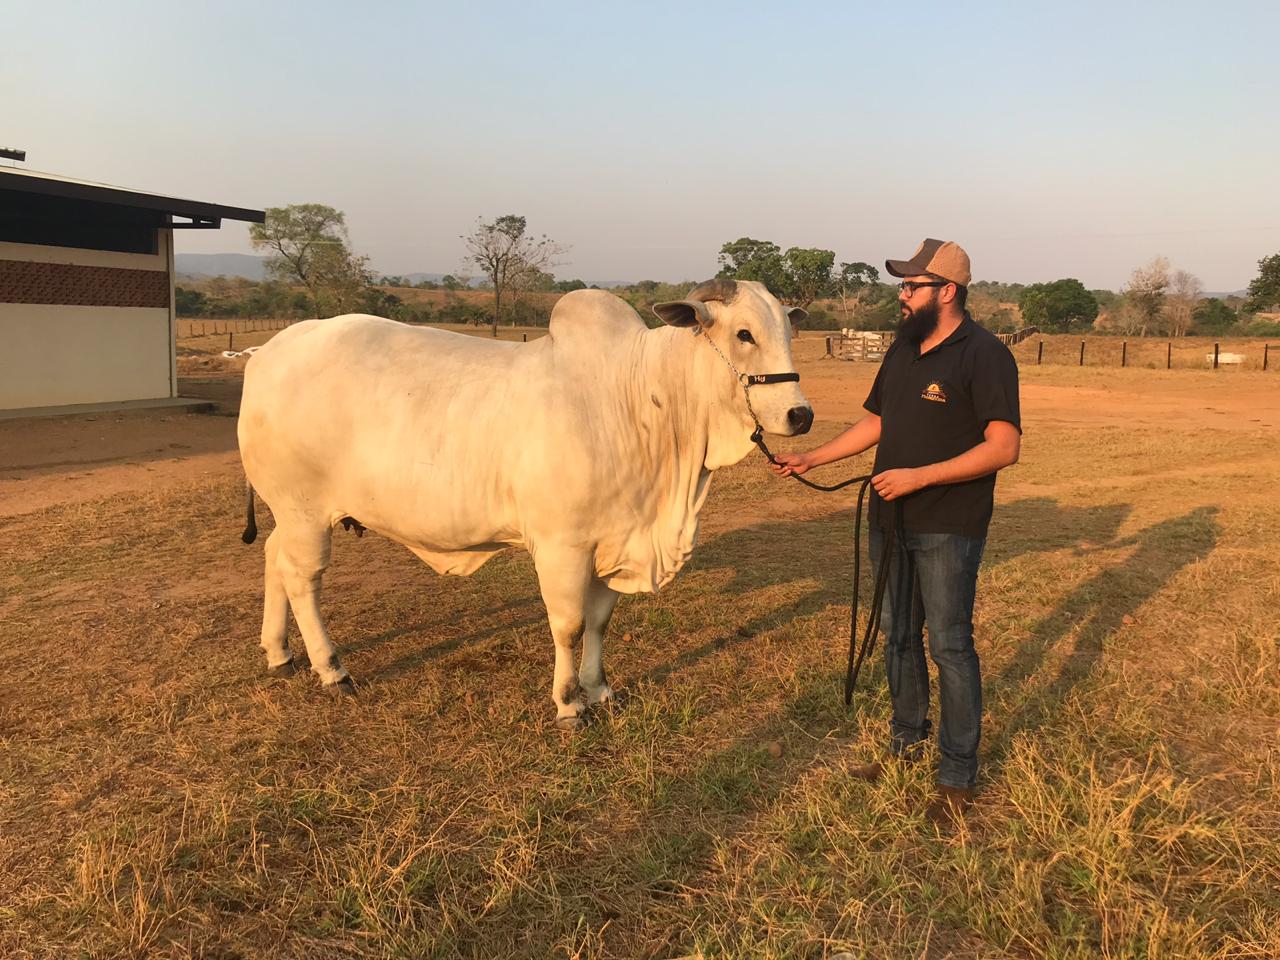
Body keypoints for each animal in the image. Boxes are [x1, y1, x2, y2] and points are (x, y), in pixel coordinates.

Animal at [240, 277, 808, 727]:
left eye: (788, 332)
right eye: (744, 334)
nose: (800, 415)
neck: (640, 400)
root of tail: (267, 353)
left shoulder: (615, 538)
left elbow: (600, 622)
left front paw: (600, 689)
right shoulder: (562, 547)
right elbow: (569, 625)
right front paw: (569, 704)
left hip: (290, 513)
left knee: (272, 558)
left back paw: (279, 653)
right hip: (305, 510)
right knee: (302, 579)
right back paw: (331, 668)